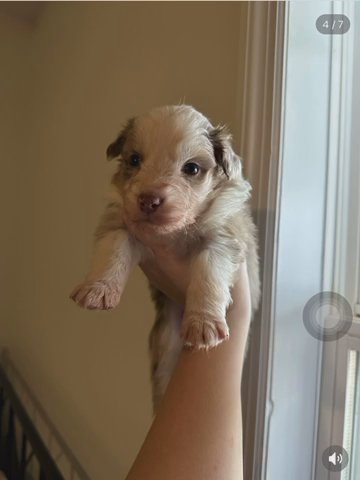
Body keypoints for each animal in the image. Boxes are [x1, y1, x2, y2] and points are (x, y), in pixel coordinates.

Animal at [71, 105, 258, 408]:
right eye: (135, 159)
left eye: (191, 168)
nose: (148, 201)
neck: (174, 231)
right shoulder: (120, 221)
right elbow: (113, 250)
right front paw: (97, 289)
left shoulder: (221, 237)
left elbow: (208, 274)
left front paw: (204, 322)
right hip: (165, 345)